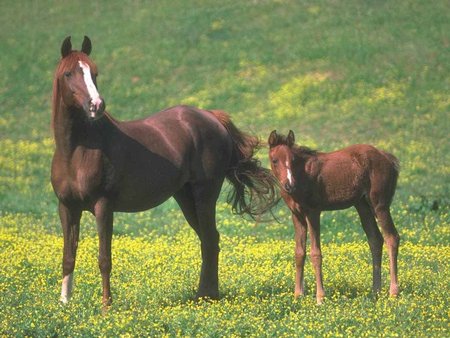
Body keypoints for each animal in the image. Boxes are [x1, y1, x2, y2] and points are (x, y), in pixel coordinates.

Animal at [50, 35, 278, 308]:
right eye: (69, 73)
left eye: (94, 73)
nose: (96, 105)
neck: (78, 151)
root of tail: (211, 117)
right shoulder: (67, 207)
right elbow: (68, 256)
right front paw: (64, 304)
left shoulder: (103, 206)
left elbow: (104, 258)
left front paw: (106, 306)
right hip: (185, 197)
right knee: (208, 240)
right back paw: (204, 294)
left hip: (205, 194)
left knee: (210, 239)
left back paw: (206, 296)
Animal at [268, 130, 400, 304]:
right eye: (275, 160)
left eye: (293, 159)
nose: (289, 185)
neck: (302, 175)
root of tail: (388, 158)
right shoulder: (297, 215)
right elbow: (299, 253)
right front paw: (298, 295)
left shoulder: (313, 212)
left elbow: (315, 253)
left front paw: (320, 298)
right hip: (363, 206)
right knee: (376, 240)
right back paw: (375, 292)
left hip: (380, 205)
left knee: (392, 238)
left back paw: (393, 292)